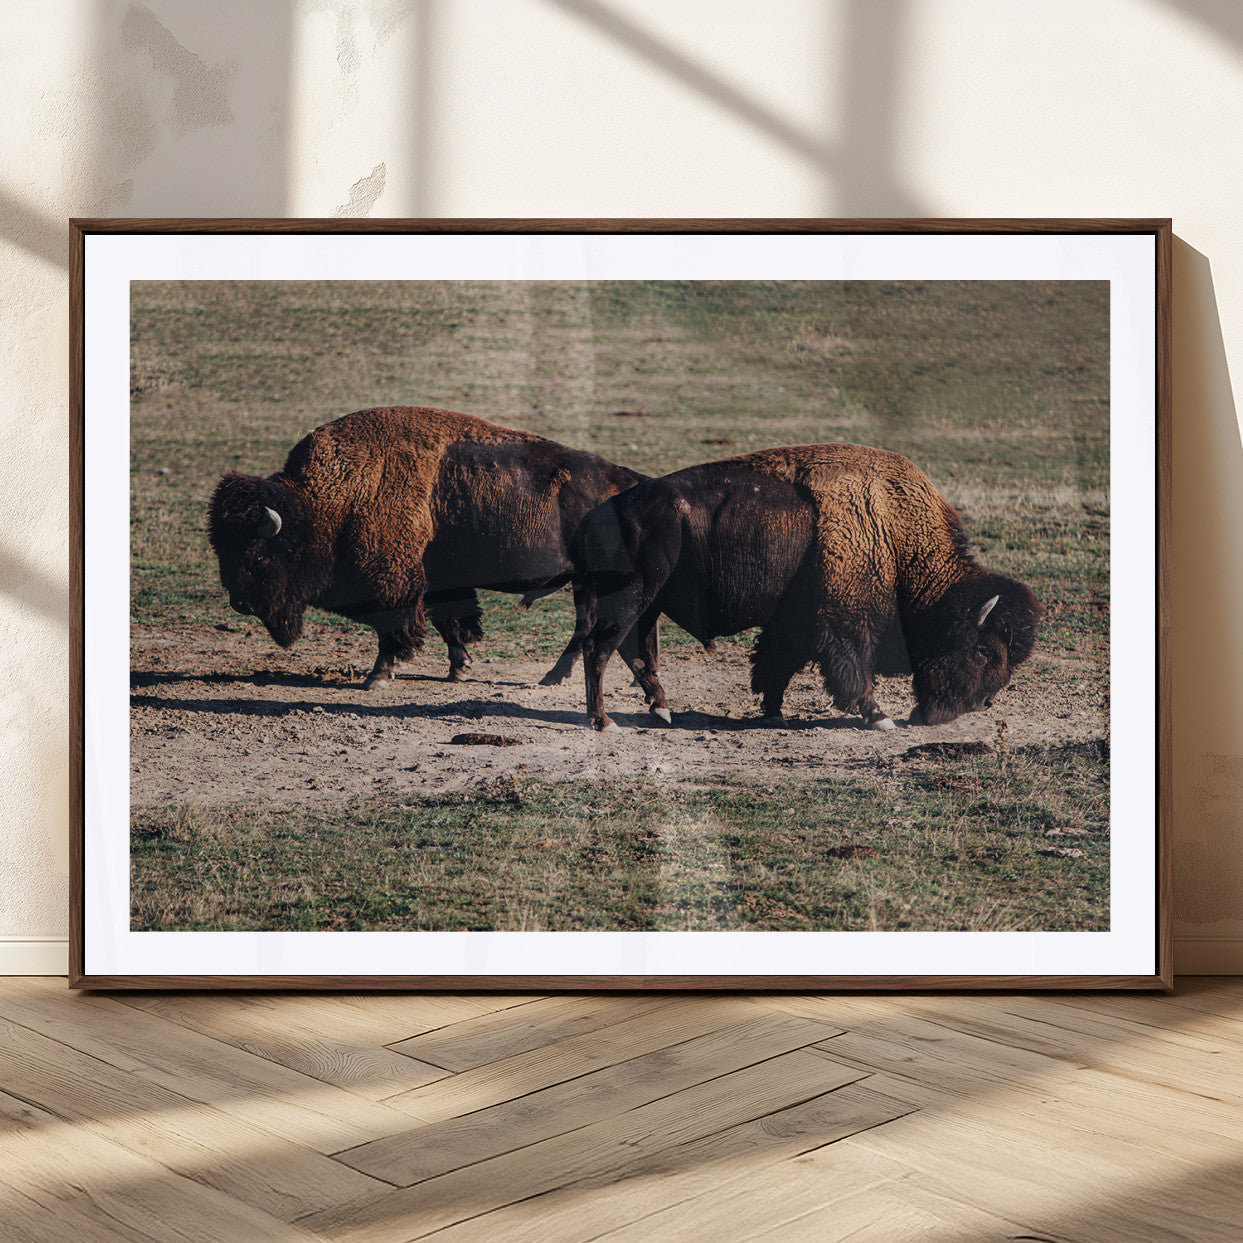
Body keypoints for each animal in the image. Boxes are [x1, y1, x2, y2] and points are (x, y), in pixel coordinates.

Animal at [208, 406, 643, 687]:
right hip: (585, 580)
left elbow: (395, 628)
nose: (240, 603)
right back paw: (557, 677)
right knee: (589, 624)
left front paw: (377, 677)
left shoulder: (392, 585)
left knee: (589, 625)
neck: (330, 502)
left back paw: (554, 677)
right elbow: (449, 621)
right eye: (220, 550)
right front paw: (459, 669)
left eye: (258, 555)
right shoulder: (435, 581)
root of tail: (629, 481)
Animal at [566, 443, 1042, 732]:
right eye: (983, 651)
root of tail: (599, 512)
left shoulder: (795, 623)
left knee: (633, 650)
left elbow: (776, 664)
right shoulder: (844, 623)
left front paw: (774, 714)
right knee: (599, 648)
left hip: (648, 603)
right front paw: (880, 717)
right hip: (632, 597)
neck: (892, 534)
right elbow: (854, 671)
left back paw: (661, 710)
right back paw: (604, 722)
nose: (977, 705)